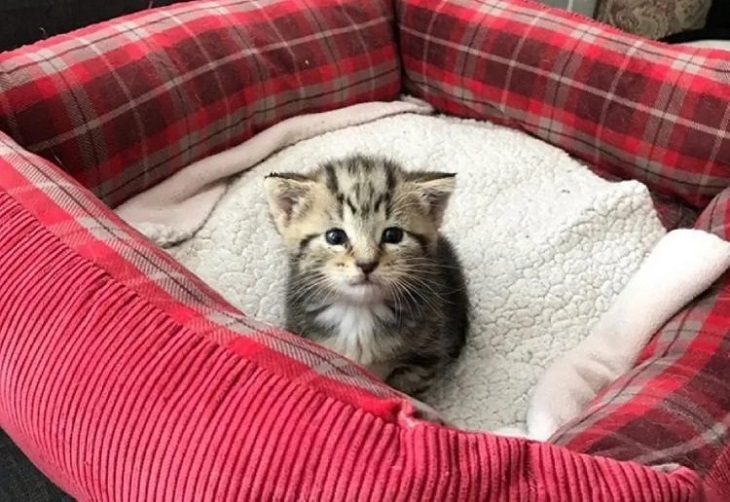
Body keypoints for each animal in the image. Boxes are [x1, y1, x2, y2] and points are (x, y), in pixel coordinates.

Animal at [262, 154, 466, 396]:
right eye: (334, 237)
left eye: (393, 235)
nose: (366, 264)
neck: (359, 313)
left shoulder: (424, 355)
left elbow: (408, 390)